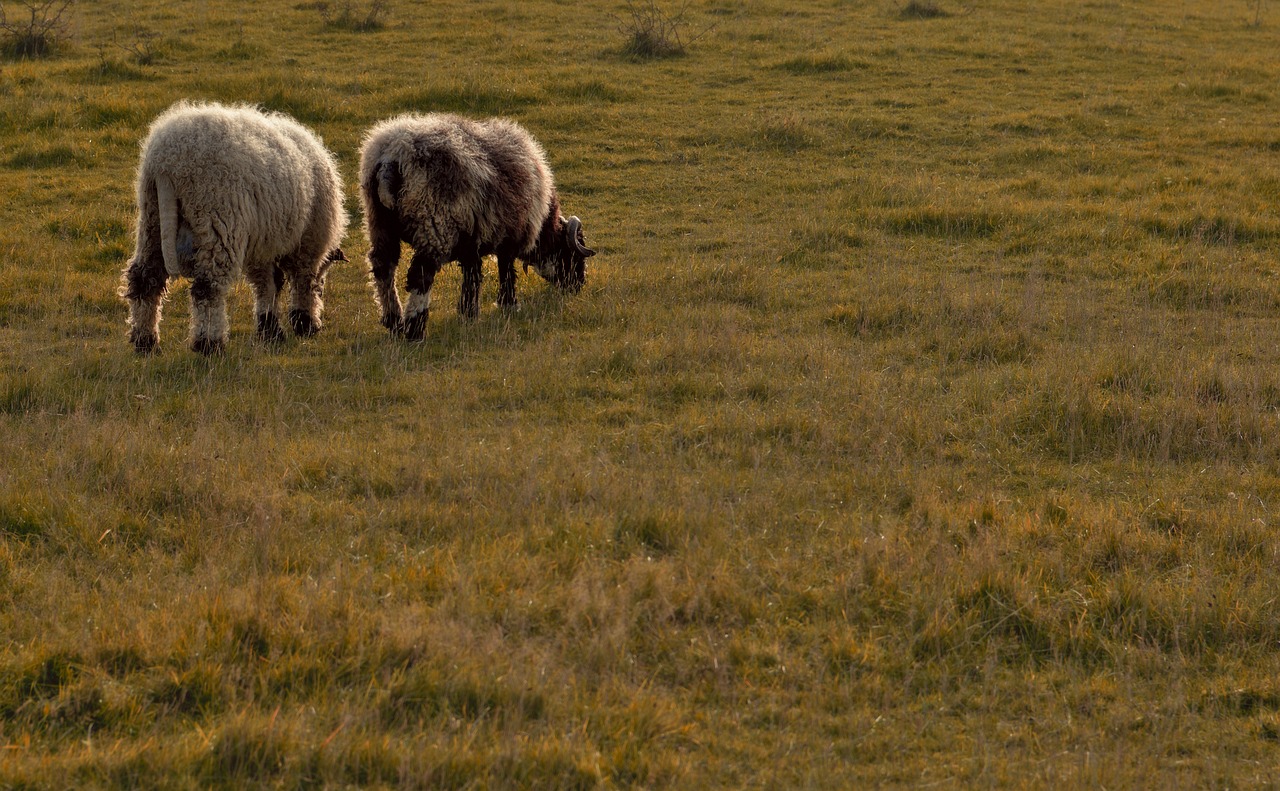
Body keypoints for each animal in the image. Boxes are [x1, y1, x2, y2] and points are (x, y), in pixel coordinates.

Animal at [120, 101, 348, 353]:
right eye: (323, 284)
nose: (315, 328)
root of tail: (167, 162)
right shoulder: (307, 242)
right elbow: (300, 282)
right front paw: (303, 323)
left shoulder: (261, 244)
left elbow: (267, 284)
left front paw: (270, 329)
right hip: (217, 221)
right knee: (207, 287)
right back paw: (209, 344)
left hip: (152, 220)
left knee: (145, 279)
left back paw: (146, 342)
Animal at [358, 111, 591, 337]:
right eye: (571, 255)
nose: (578, 285)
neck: (543, 225)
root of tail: (392, 157)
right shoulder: (509, 236)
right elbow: (506, 270)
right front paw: (508, 304)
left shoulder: (471, 239)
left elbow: (472, 274)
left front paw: (468, 313)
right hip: (434, 225)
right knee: (421, 274)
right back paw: (414, 329)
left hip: (379, 223)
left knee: (383, 266)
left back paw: (393, 322)